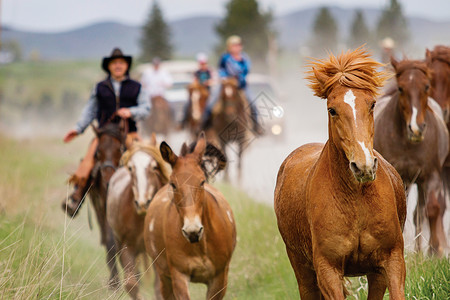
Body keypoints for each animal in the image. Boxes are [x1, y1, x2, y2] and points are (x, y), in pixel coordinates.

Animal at [106, 136, 171, 300]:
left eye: (154, 167)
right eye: (130, 168)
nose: (142, 203)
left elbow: (159, 287)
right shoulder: (127, 247)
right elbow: (131, 285)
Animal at [143, 134, 236, 300]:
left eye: (202, 181)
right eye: (173, 184)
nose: (192, 230)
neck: (199, 246)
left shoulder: (219, 278)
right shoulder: (178, 276)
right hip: (164, 277)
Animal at [274, 48, 408, 298]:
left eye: (372, 104)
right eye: (332, 110)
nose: (364, 166)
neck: (356, 199)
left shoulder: (390, 262)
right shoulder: (328, 270)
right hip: (302, 270)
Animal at [372, 56, 450, 255]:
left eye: (427, 86)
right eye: (401, 88)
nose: (416, 128)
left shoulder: (432, 176)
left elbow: (432, 209)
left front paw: (436, 251)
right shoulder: (399, 177)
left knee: (420, 213)